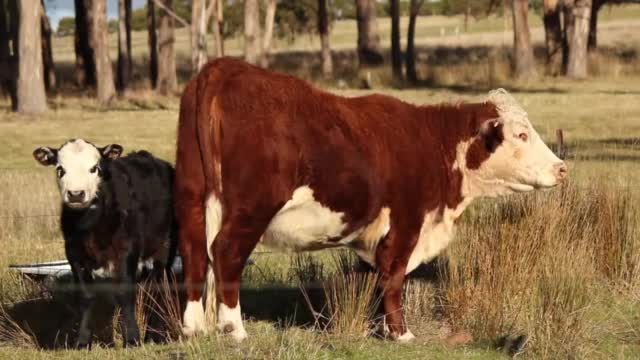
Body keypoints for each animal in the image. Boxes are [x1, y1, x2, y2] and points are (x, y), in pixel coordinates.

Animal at [172, 57, 568, 342]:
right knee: (225, 252)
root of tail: (223, 69)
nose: (561, 168)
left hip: (192, 196)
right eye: (522, 134)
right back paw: (233, 329)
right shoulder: (407, 222)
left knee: (194, 252)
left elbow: (377, 279)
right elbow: (393, 279)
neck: (432, 143)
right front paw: (401, 333)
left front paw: (380, 328)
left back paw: (193, 326)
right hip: (251, 207)